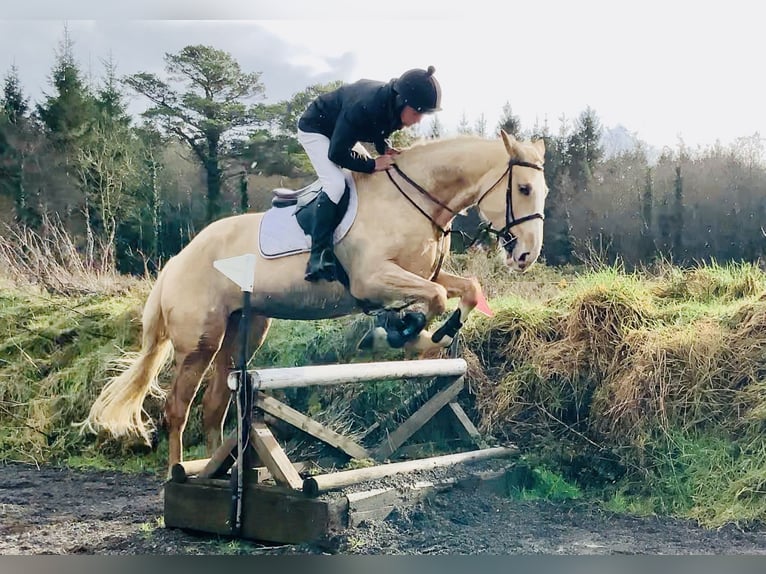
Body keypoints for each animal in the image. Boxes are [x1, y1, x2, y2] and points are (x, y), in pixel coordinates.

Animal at [80, 130, 548, 476]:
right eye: (524, 188)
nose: (526, 256)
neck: (416, 200)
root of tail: (176, 260)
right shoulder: (372, 278)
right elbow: (429, 301)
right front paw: (397, 335)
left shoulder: (424, 275)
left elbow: (467, 288)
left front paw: (439, 335)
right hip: (200, 341)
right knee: (178, 408)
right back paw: (176, 475)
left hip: (244, 329)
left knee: (214, 405)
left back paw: (216, 469)